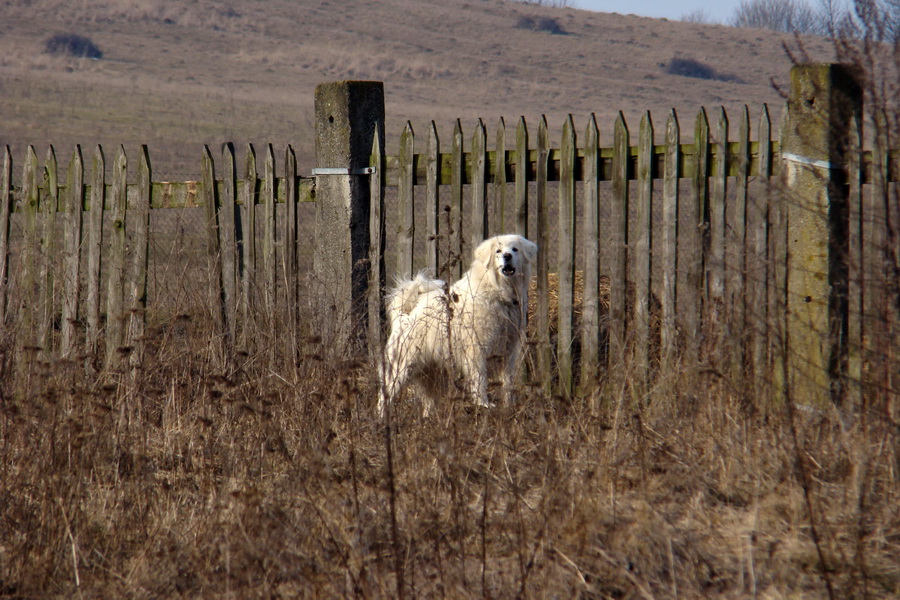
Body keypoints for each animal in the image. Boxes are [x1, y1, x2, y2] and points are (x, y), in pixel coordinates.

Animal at [378, 234, 536, 418]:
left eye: (514, 249)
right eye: (498, 251)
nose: (507, 256)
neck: (497, 289)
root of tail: (404, 315)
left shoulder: (508, 351)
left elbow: (508, 383)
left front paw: (509, 407)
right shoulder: (477, 350)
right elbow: (480, 380)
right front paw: (483, 405)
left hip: (433, 373)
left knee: (429, 400)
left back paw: (429, 419)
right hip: (402, 367)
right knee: (385, 396)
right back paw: (382, 419)